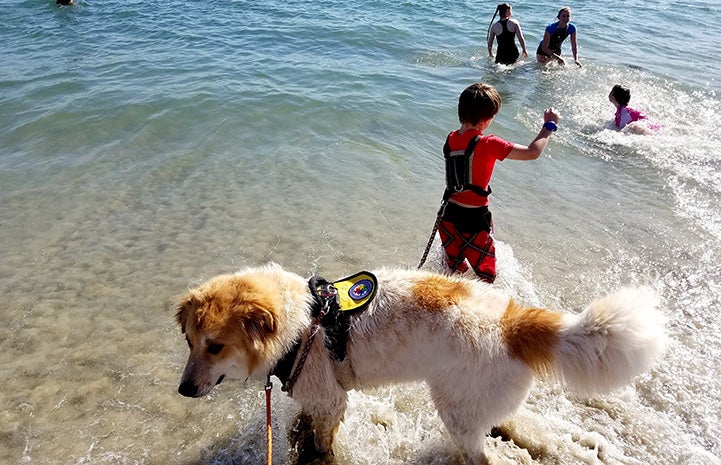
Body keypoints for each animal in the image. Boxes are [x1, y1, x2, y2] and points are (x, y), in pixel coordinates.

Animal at [174, 264, 664, 464]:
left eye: (215, 347)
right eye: (190, 341)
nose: (182, 390)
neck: (306, 323)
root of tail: (514, 322)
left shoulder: (331, 402)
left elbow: (322, 443)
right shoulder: (319, 398)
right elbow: (304, 425)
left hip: (456, 412)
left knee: (483, 457)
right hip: (484, 401)